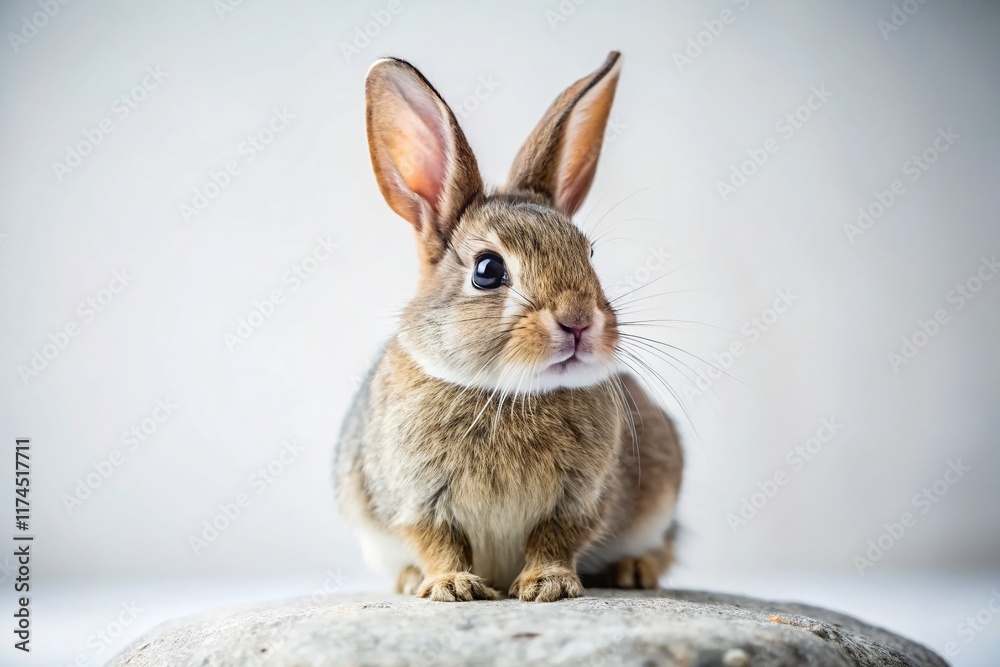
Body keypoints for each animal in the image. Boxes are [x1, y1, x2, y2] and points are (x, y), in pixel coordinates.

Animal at [334, 51, 683, 602]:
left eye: (588, 254)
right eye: (487, 270)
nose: (579, 321)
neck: (508, 391)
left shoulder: (579, 499)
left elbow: (555, 538)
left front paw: (548, 585)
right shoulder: (415, 499)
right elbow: (438, 542)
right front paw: (453, 587)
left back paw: (634, 571)